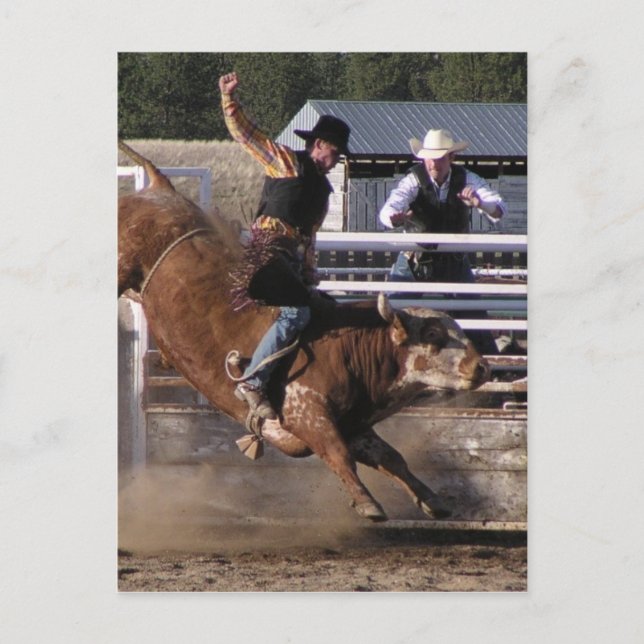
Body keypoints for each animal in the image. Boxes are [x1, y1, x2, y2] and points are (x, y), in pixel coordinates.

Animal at [118, 142, 490, 522]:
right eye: (432, 335)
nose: (482, 367)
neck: (350, 348)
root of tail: (160, 189)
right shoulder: (308, 414)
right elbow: (337, 453)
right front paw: (366, 502)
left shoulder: (356, 428)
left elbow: (391, 457)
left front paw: (431, 498)